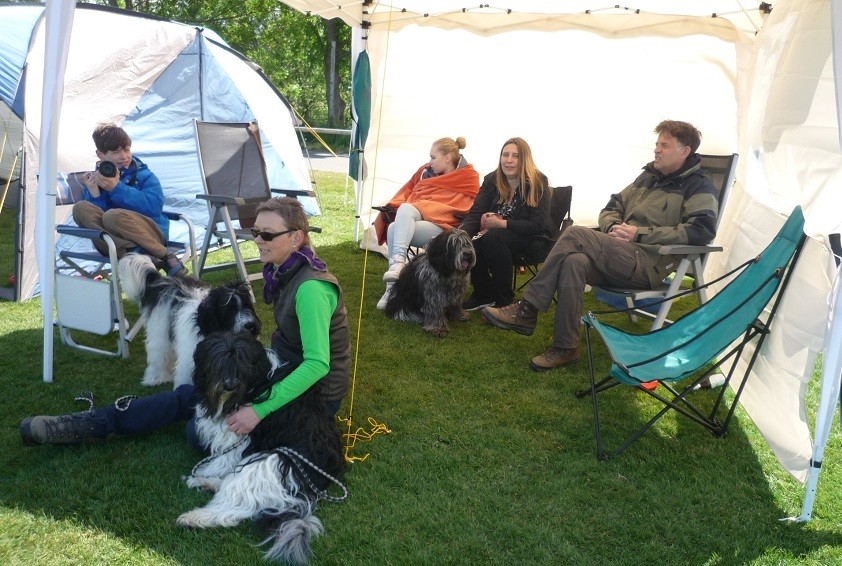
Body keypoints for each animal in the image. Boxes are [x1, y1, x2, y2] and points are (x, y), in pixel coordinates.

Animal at [116, 254, 258, 390]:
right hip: (159, 332)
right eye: (229, 310)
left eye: (246, 305)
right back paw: (156, 379)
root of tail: (161, 281)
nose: (249, 325)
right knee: (158, 354)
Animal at [177, 330, 344, 564]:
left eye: (241, 364)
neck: (257, 380)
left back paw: (196, 517)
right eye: (219, 362)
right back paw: (204, 482)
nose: (229, 385)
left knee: (236, 505)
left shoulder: (239, 433)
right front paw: (205, 474)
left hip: (272, 462)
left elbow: (223, 459)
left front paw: (207, 471)